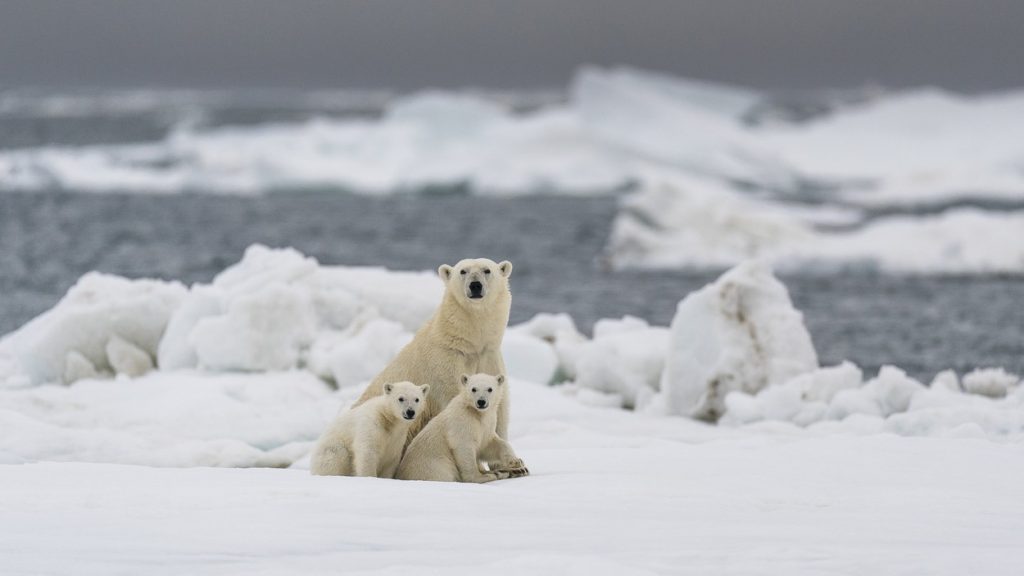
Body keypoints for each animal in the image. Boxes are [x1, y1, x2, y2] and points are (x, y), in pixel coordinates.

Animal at [356, 258, 520, 463]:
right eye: (463, 271)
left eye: (486, 270)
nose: (475, 285)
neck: (467, 344)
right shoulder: (446, 365)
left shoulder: (489, 357)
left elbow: (499, 407)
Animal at [393, 373, 528, 479]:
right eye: (473, 389)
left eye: (490, 389)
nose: (481, 401)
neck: (477, 414)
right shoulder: (461, 422)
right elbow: (464, 447)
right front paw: (480, 476)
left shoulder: (487, 424)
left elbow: (490, 444)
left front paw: (516, 462)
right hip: (433, 464)